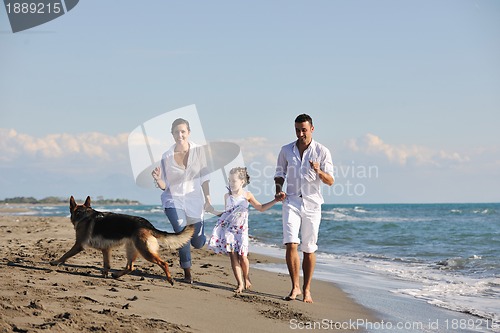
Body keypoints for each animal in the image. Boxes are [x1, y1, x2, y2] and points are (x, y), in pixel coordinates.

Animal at [50, 196, 194, 284]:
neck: (83, 214)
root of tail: (147, 224)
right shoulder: (106, 249)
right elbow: (107, 265)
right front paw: (105, 274)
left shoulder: (79, 245)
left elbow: (66, 255)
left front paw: (55, 262)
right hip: (131, 249)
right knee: (130, 267)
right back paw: (116, 275)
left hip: (145, 251)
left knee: (164, 263)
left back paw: (169, 279)